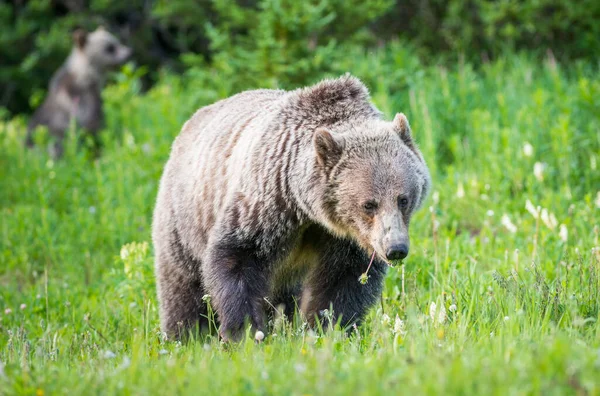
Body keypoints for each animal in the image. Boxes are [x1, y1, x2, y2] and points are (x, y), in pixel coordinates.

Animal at [152, 75, 428, 340]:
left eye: (403, 199)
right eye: (369, 204)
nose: (395, 248)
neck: (308, 210)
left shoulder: (344, 239)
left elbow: (343, 284)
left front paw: (330, 329)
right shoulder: (267, 205)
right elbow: (237, 259)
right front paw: (246, 331)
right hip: (185, 219)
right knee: (183, 289)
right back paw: (184, 335)